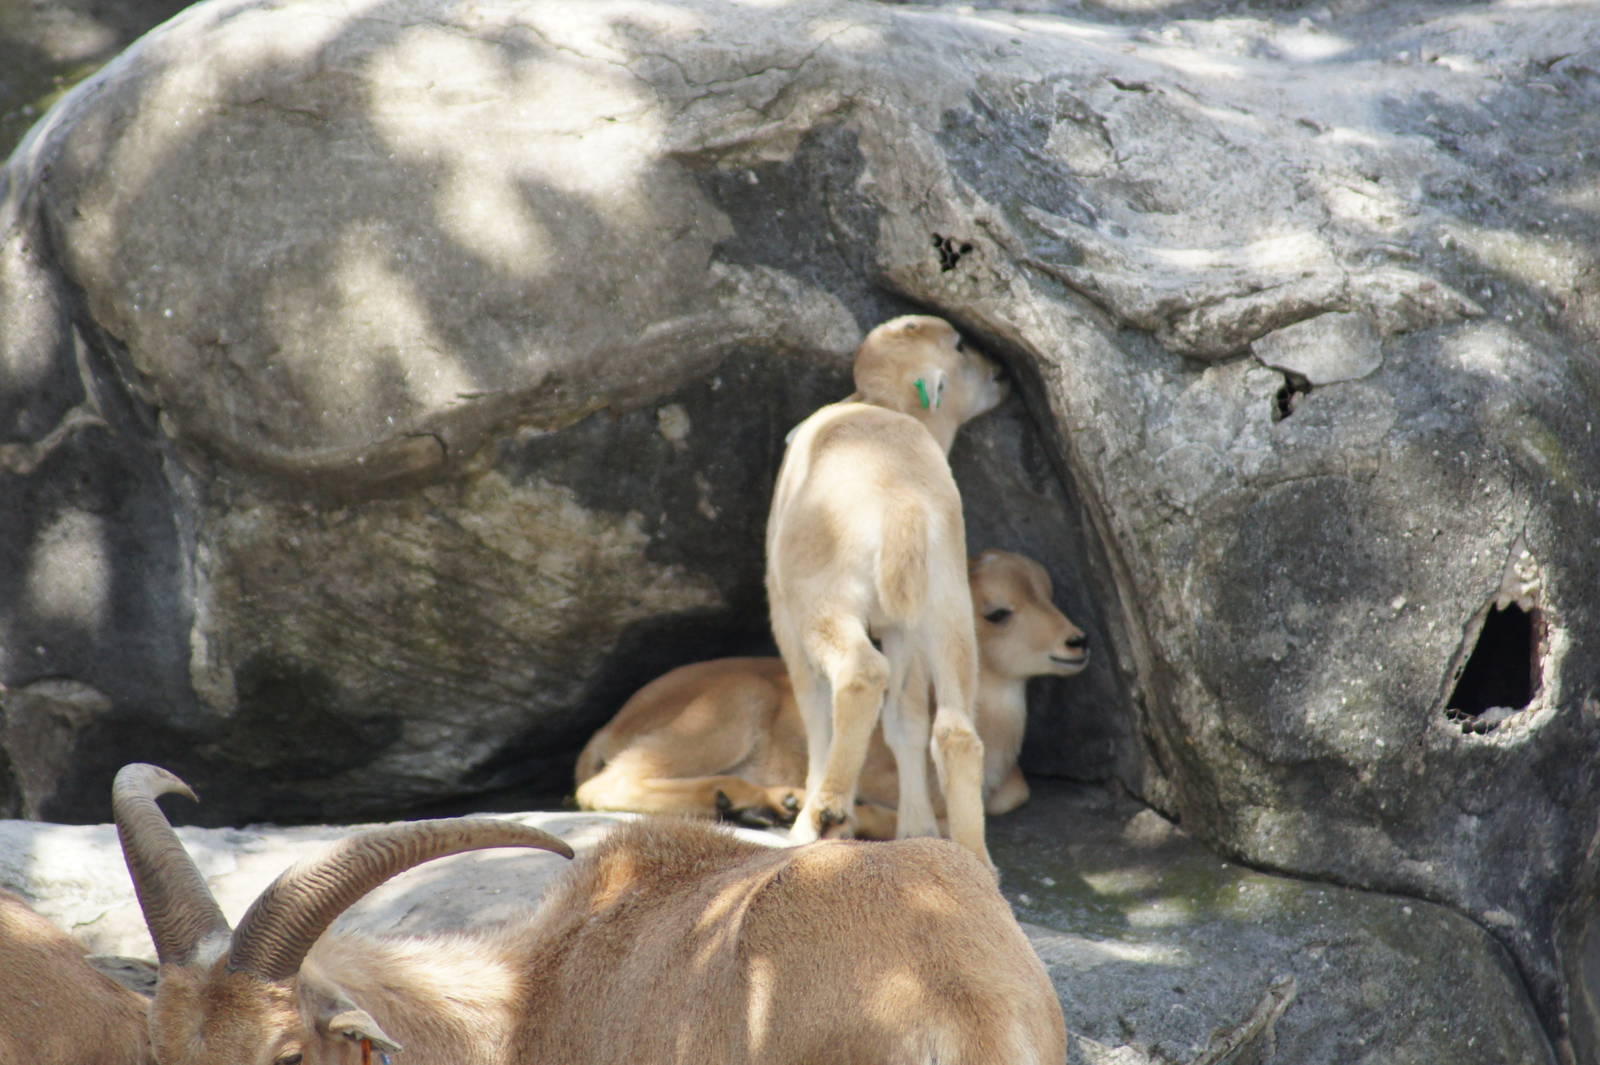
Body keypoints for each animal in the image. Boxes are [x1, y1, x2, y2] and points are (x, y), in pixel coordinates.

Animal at [574, 548, 1089, 836]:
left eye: (1048, 592)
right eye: (998, 611)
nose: (1077, 642)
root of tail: (610, 727)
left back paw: (770, 803)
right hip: (726, 715)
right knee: (604, 785)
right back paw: (741, 798)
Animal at [765, 314, 1006, 863]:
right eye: (961, 346)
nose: (1001, 373)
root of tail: (901, 502)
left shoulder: (783, 612)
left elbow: (815, 713)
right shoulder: (903, 629)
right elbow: (906, 721)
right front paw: (917, 828)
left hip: (823, 602)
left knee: (858, 675)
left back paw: (824, 813)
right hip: (947, 607)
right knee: (955, 730)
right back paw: (973, 858)